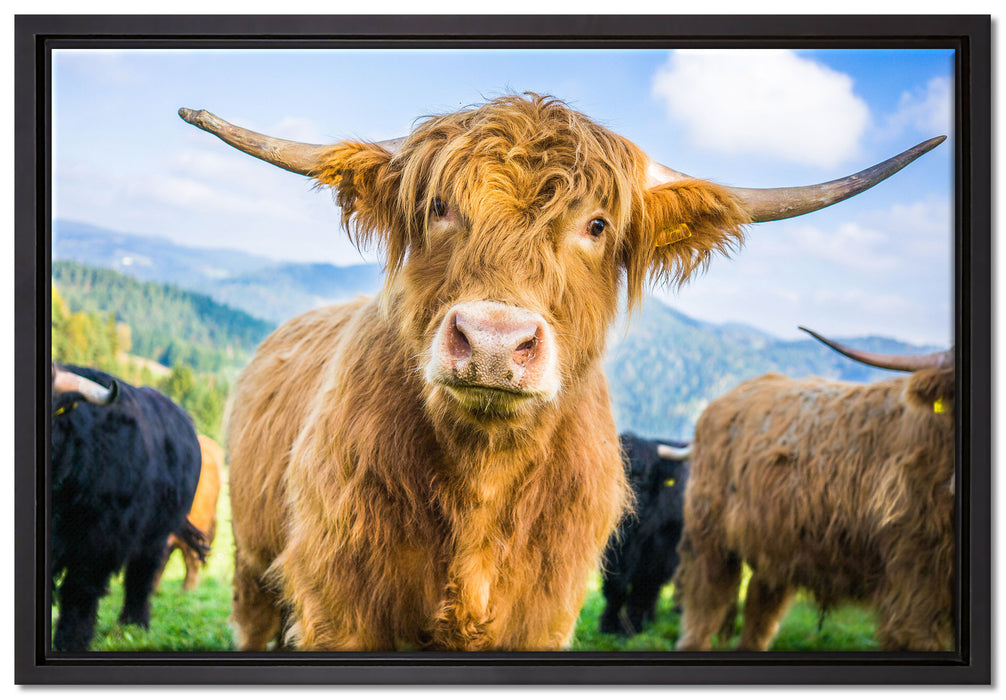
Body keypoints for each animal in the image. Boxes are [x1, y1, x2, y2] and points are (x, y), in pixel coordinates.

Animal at [50, 363, 205, 651]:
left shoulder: (98, 542)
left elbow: (79, 589)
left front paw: (71, 640)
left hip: (155, 535)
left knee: (142, 576)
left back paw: (134, 624)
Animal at [599, 433, 690, 635]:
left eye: (645, 476)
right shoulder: (612, 554)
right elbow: (614, 589)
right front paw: (608, 625)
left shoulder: (657, 555)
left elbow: (641, 591)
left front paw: (631, 628)